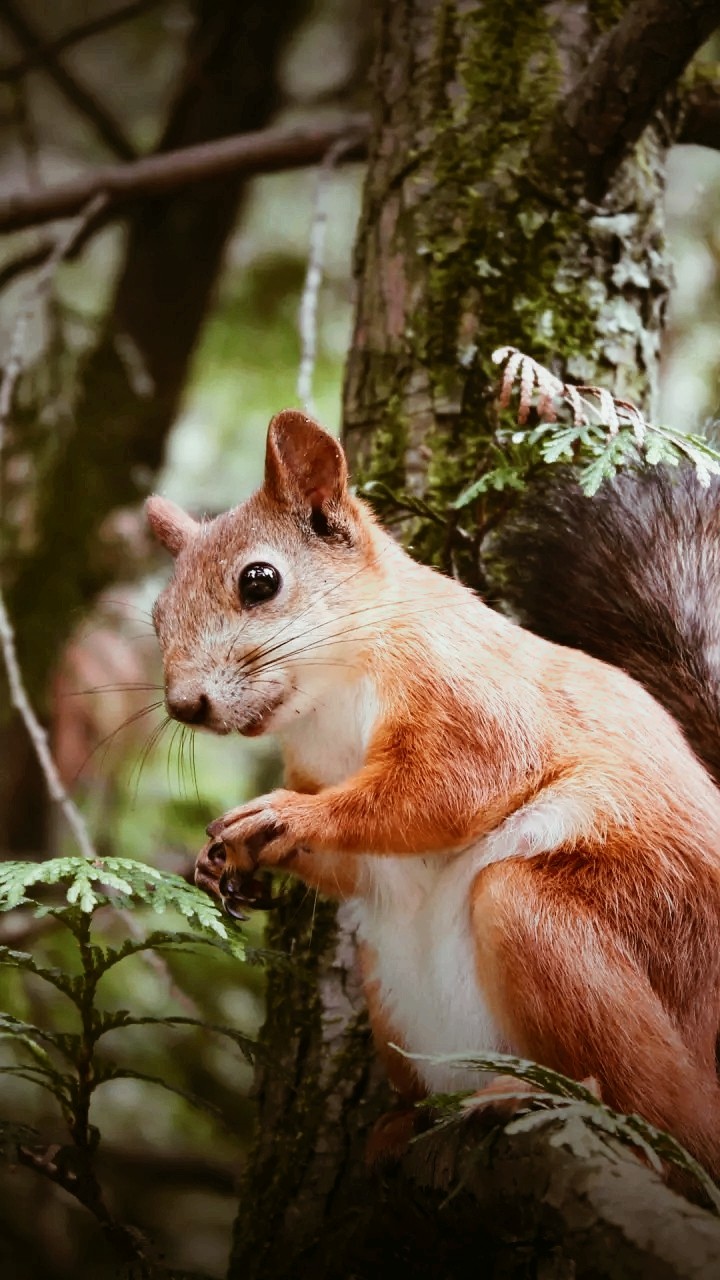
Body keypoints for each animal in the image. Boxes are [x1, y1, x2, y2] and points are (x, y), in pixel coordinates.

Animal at [147, 409, 720, 1178]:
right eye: (157, 614)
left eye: (259, 581)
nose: (184, 705)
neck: (329, 700)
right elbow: (355, 862)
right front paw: (225, 864)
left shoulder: (467, 690)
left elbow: (452, 787)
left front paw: (288, 817)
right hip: (391, 986)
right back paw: (398, 1126)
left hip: (583, 922)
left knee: (667, 1119)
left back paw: (548, 1097)